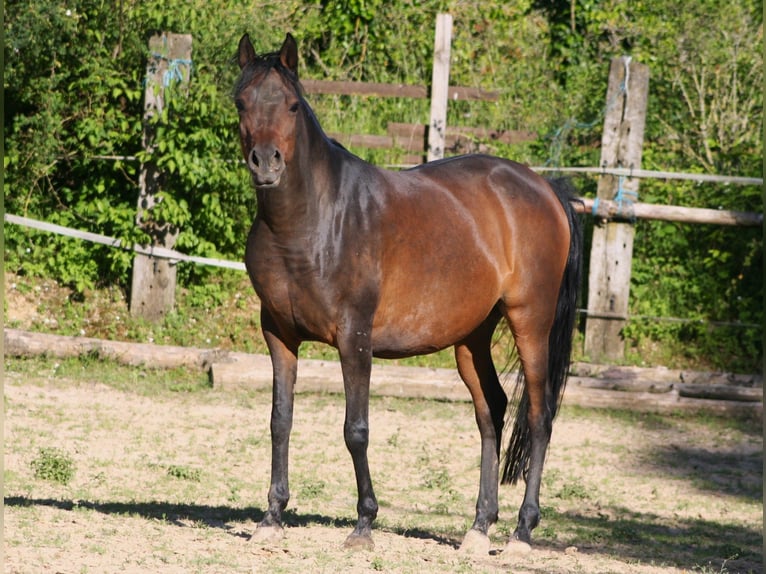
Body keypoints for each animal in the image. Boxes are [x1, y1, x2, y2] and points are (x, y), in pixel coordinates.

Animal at [234, 32, 583, 555]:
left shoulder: (354, 338)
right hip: (471, 339)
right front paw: (272, 517)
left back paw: (521, 532)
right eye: (242, 102)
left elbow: (356, 430)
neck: (310, 222)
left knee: (539, 417)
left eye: (293, 105)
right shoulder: (278, 335)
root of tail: (544, 187)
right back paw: (479, 527)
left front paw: (364, 523)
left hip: (530, 322)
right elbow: (280, 421)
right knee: (492, 412)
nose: (266, 163)